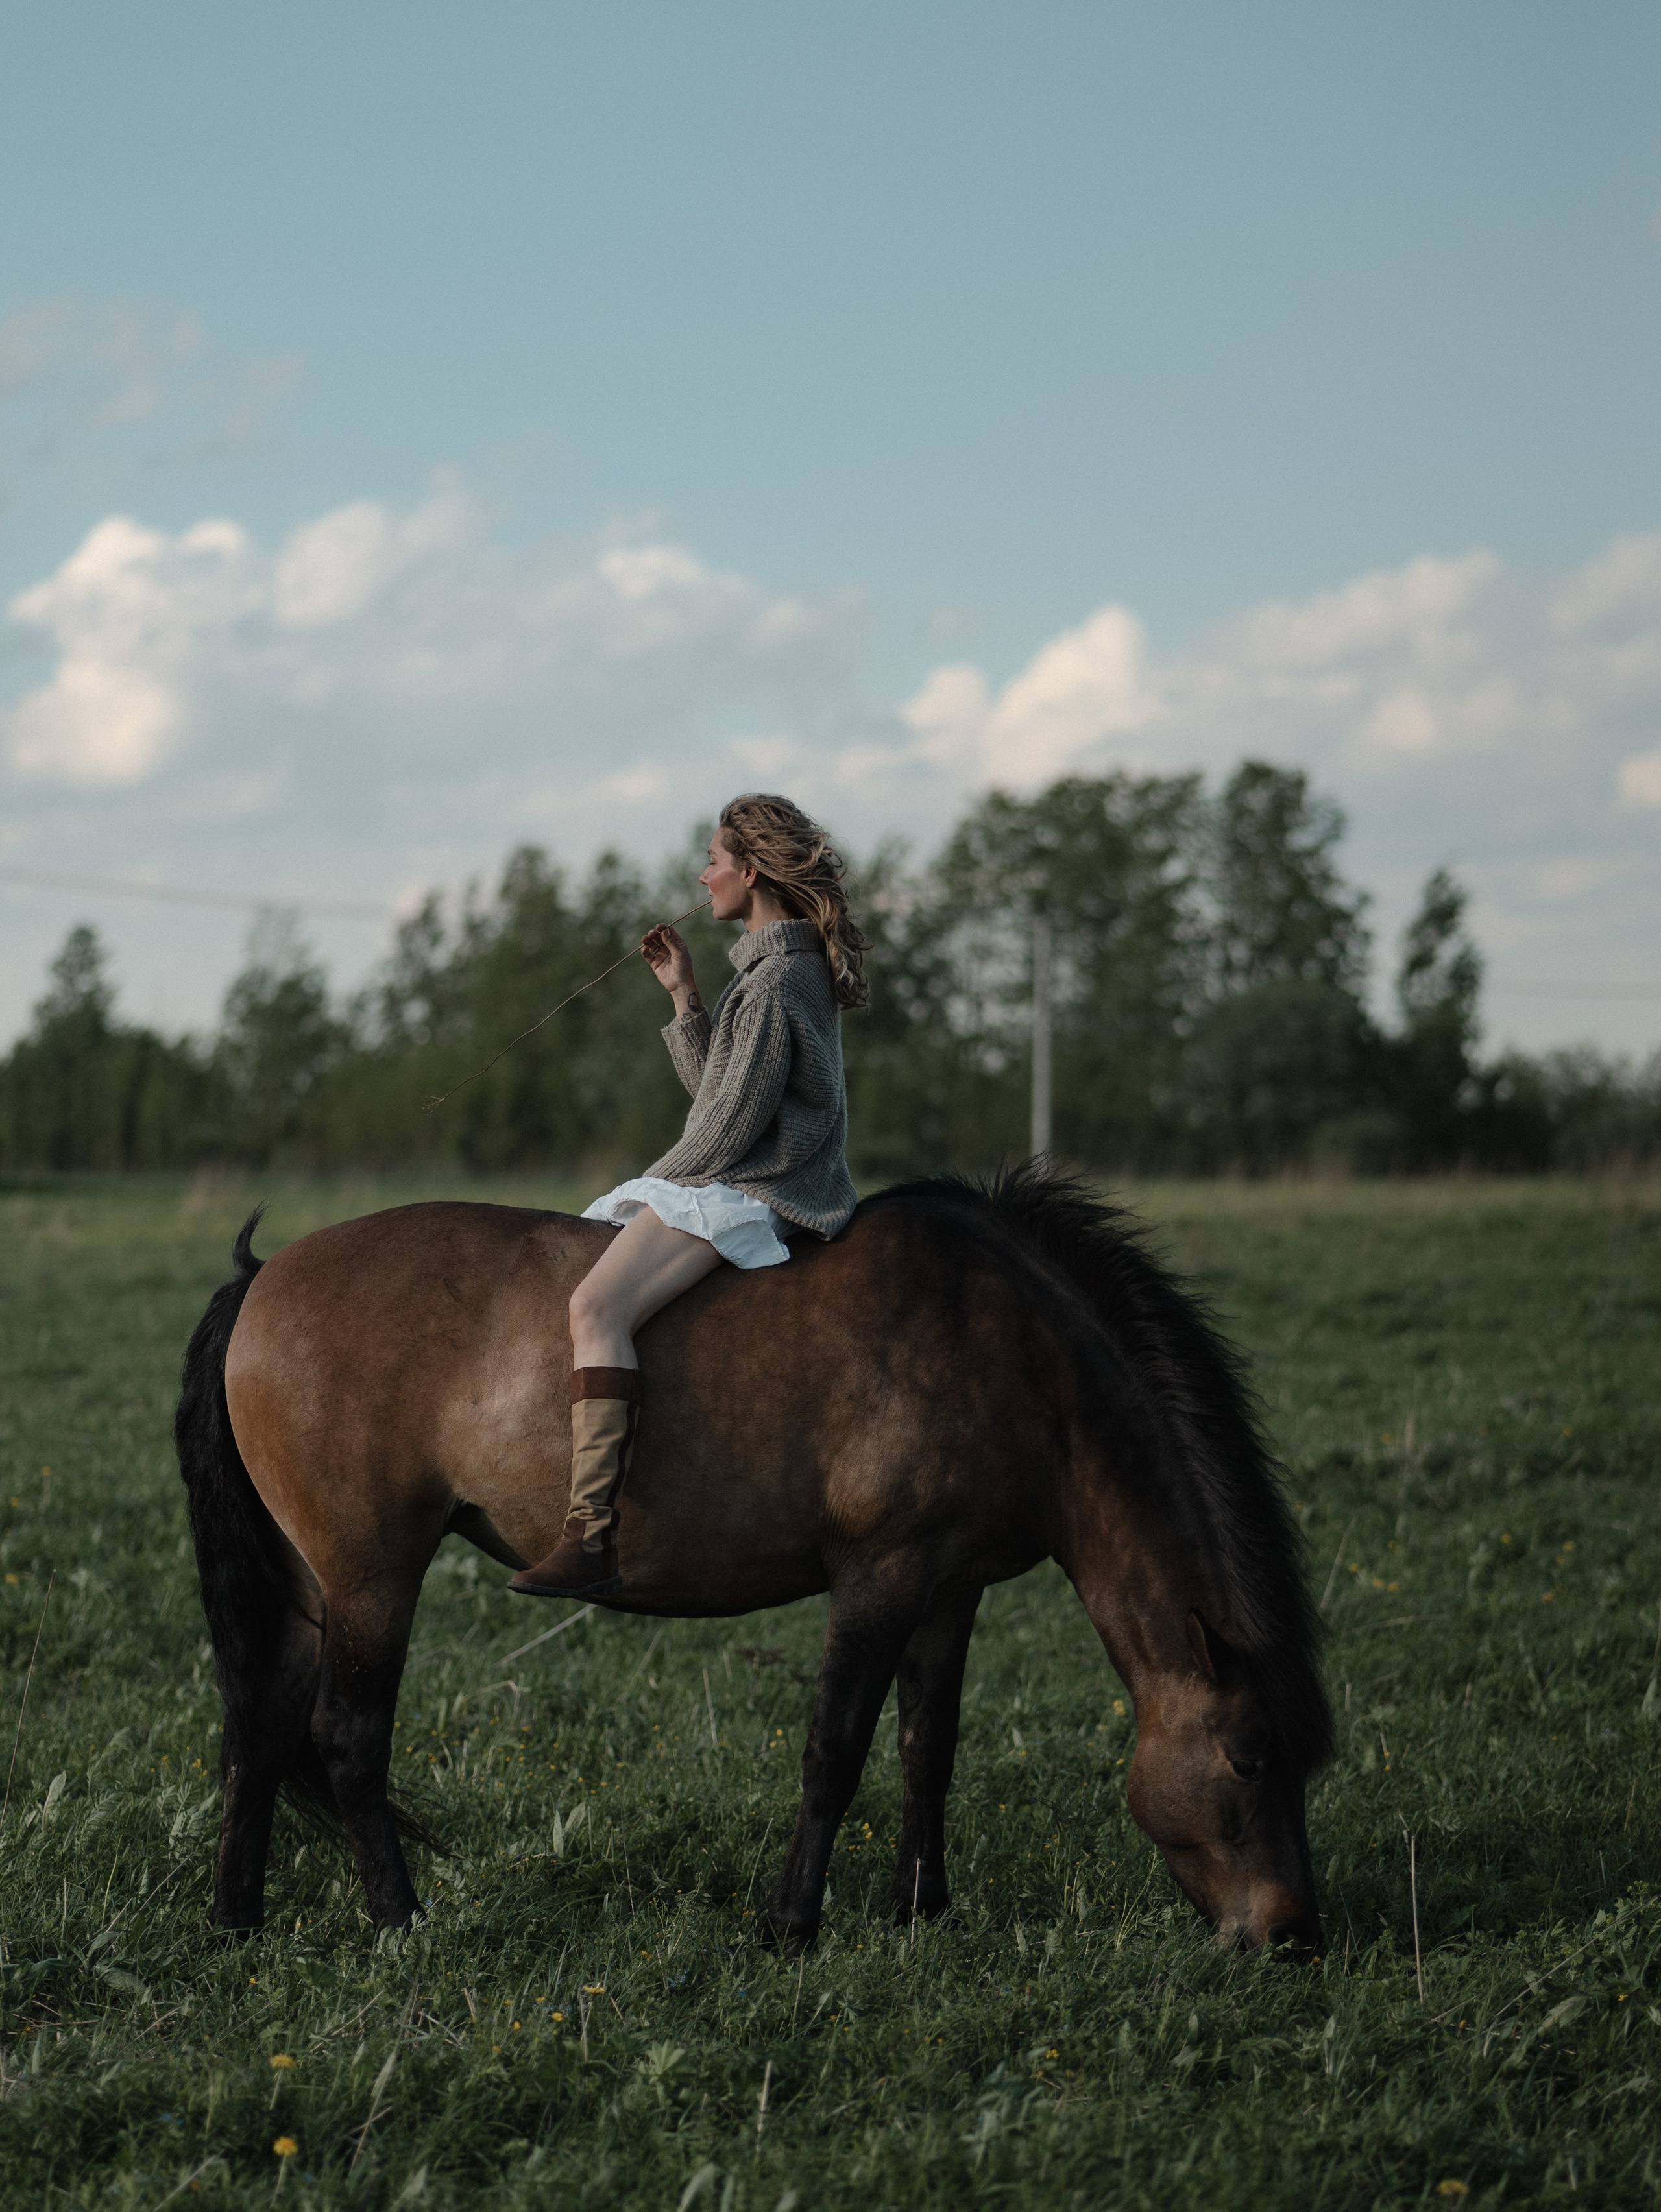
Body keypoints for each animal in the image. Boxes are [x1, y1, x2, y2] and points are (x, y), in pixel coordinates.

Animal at [175, 1167, 1333, 1955]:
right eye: (1248, 1759)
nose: (1291, 1933)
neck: (1009, 1351)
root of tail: (262, 1275)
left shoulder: (948, 1588)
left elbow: (928, 1746)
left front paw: (922, 1907)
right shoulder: (880, 1576)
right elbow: (836, 1749)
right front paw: (789, 1923)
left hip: (308, 1583)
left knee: (259, 1725)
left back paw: (237, 1918)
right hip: (370, 1576)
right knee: (345, 1737)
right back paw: (401, 1919)